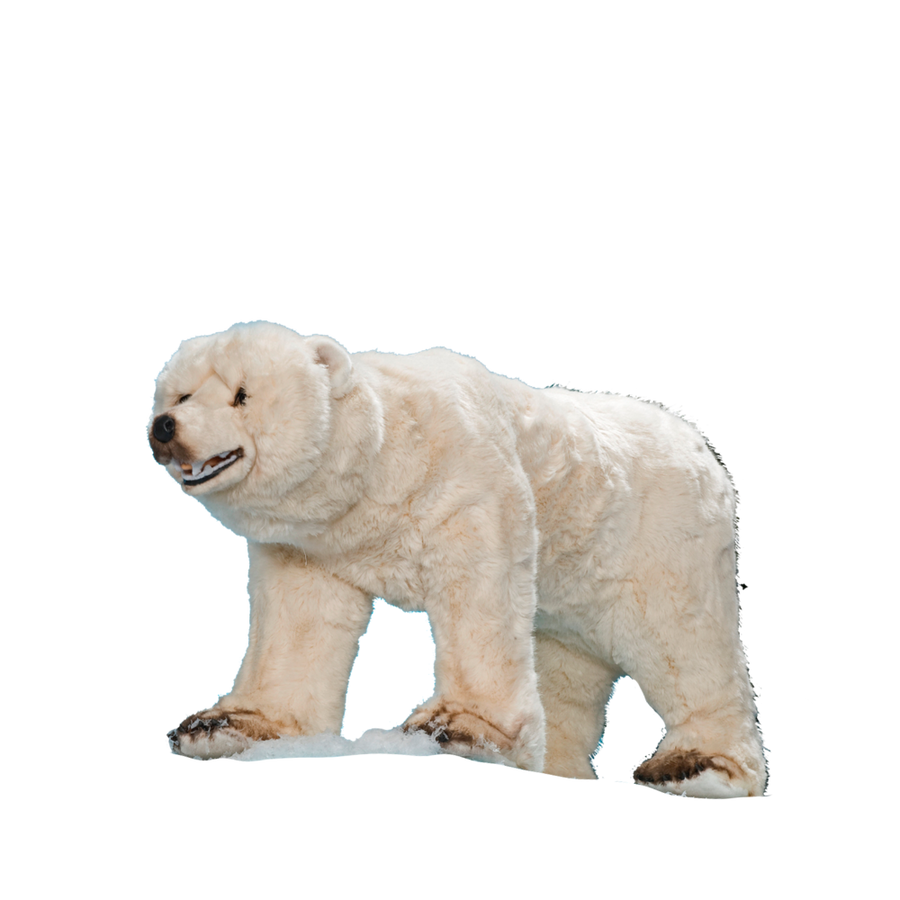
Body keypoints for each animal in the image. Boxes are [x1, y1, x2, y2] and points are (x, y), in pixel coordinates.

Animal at [147, 319, 767, 799]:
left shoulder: (466, 478)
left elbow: (479, 592)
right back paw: (561, 769)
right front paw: (222, 725)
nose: (166, 427)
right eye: (178, 395)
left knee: (684, 642)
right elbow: (298, 626)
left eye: (241, 395)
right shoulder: (316, 545)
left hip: (654, 537)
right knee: (567, 666)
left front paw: (458, 729)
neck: (380, 467)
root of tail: (700, 448)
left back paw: (697, 767)